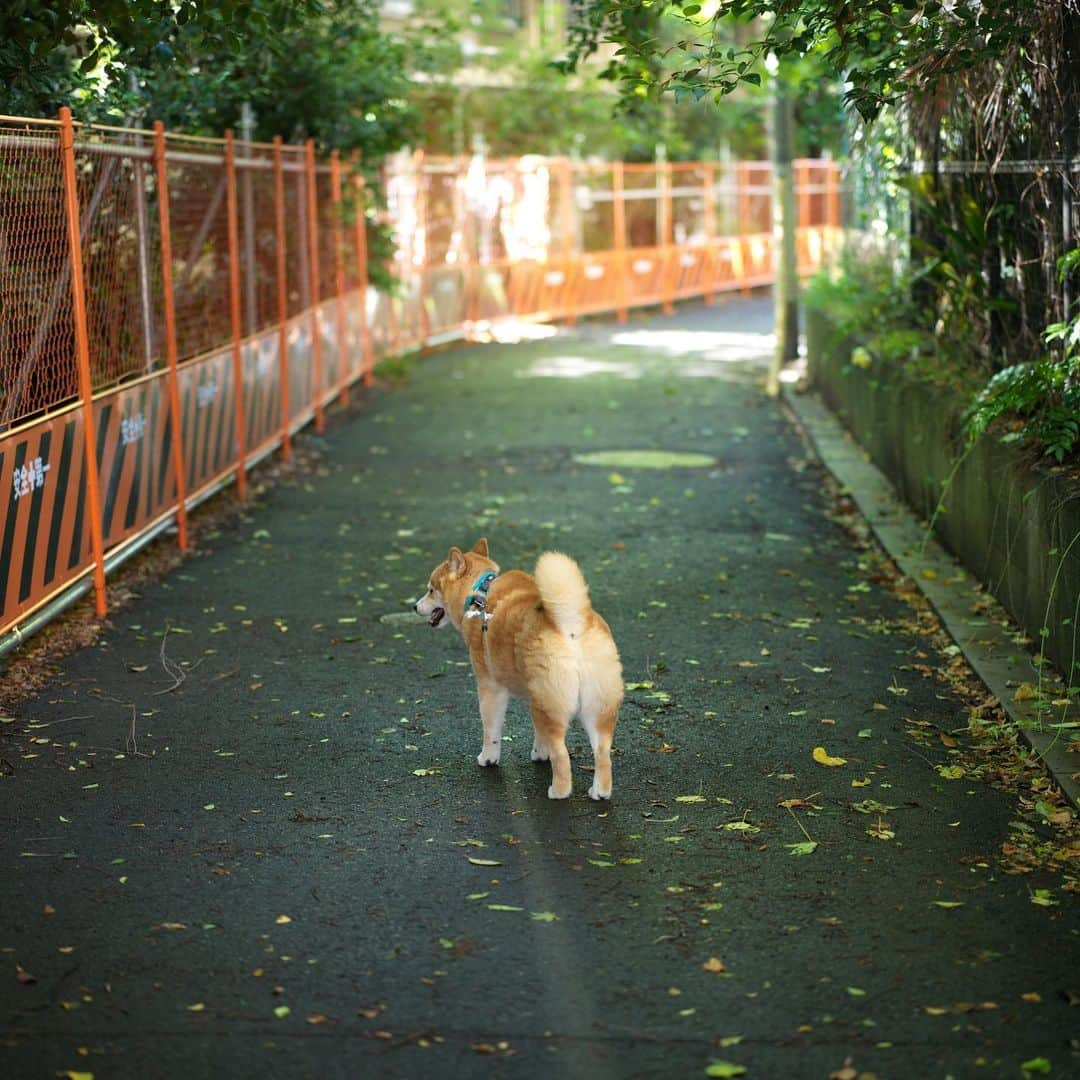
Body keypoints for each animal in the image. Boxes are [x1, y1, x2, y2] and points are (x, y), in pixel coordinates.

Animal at [416, 540, 630, 803]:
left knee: (562, 755)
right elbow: (539, 733)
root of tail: (571, 626)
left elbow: (490, 729)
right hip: (593, 709)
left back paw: (558, 791)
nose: (414, 606)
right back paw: (599, 791)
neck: (478, 593)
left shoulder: (490, 687)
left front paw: (488, 758)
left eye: (431, 590)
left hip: (551, 706)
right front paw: (540, 753)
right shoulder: (532, 698)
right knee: (602, 752)